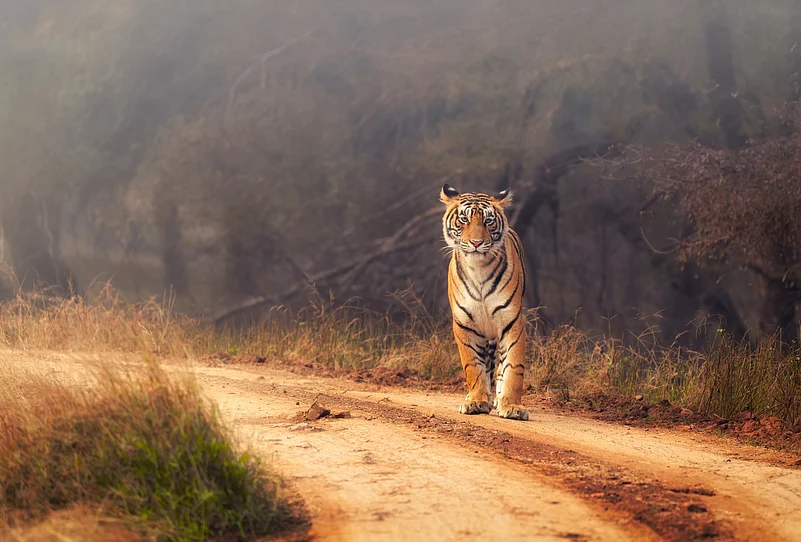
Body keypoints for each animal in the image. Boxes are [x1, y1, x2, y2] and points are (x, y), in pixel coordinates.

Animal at [440, 183, 529, 421]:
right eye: (464, 219)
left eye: (488, 221)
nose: (476, 243)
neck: (478, 269)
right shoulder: (464, 323)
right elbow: (473, 366)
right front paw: (476, 401)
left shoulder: (511, 321)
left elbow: (513, 366)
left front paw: (512, 406)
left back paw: (498, 399)